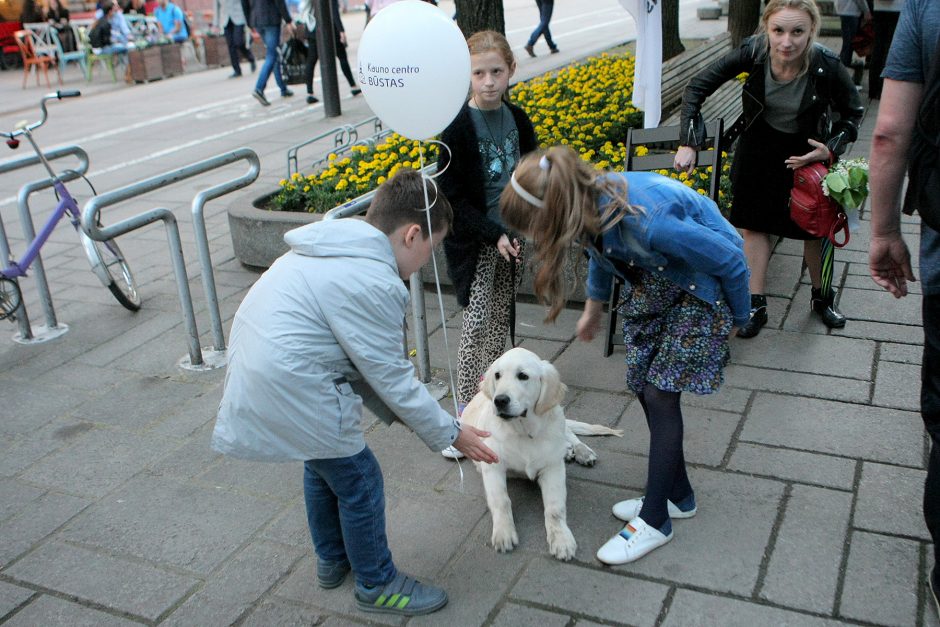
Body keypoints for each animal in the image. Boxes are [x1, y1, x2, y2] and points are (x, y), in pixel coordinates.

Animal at [458, 348, 620, 560]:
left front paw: (561, 539)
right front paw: (504, 533)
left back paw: (581, 451)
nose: (499, 400)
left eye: (523, 376)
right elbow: (500, 500)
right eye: (497, 375)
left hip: (559, 418)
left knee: (570, 432)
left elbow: (555, 508)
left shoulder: (553, 468)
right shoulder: (492, 465)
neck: (524, 430)